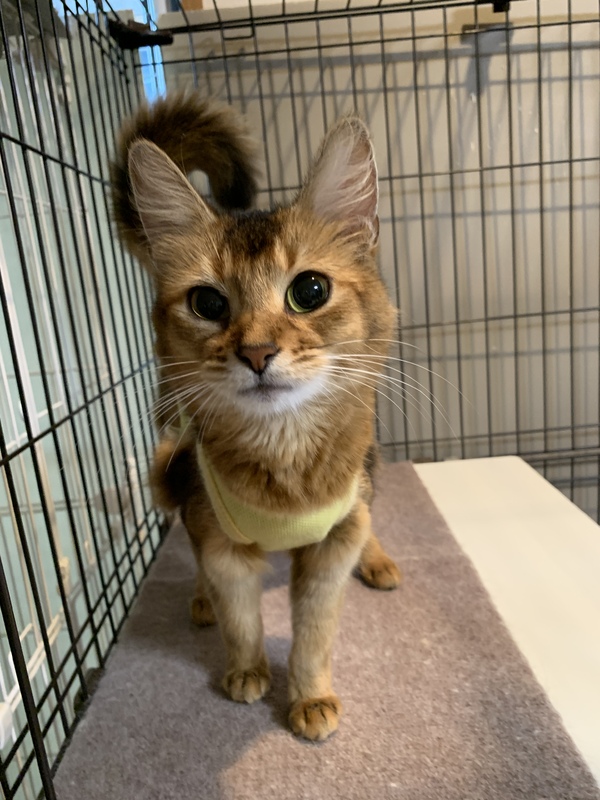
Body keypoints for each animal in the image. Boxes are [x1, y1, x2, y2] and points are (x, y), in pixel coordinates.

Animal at [111, 92, 401, 741]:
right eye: (207, 303)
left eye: (310, 290)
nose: (258, 353)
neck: (284, 459)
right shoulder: (218, 536)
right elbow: (239, 614)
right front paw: (245, 672)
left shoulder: (331, 545)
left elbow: (316, 631)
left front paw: (311, 697)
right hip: (169, 469)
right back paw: (199, 601)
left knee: (370, 513)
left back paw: (378, 561)